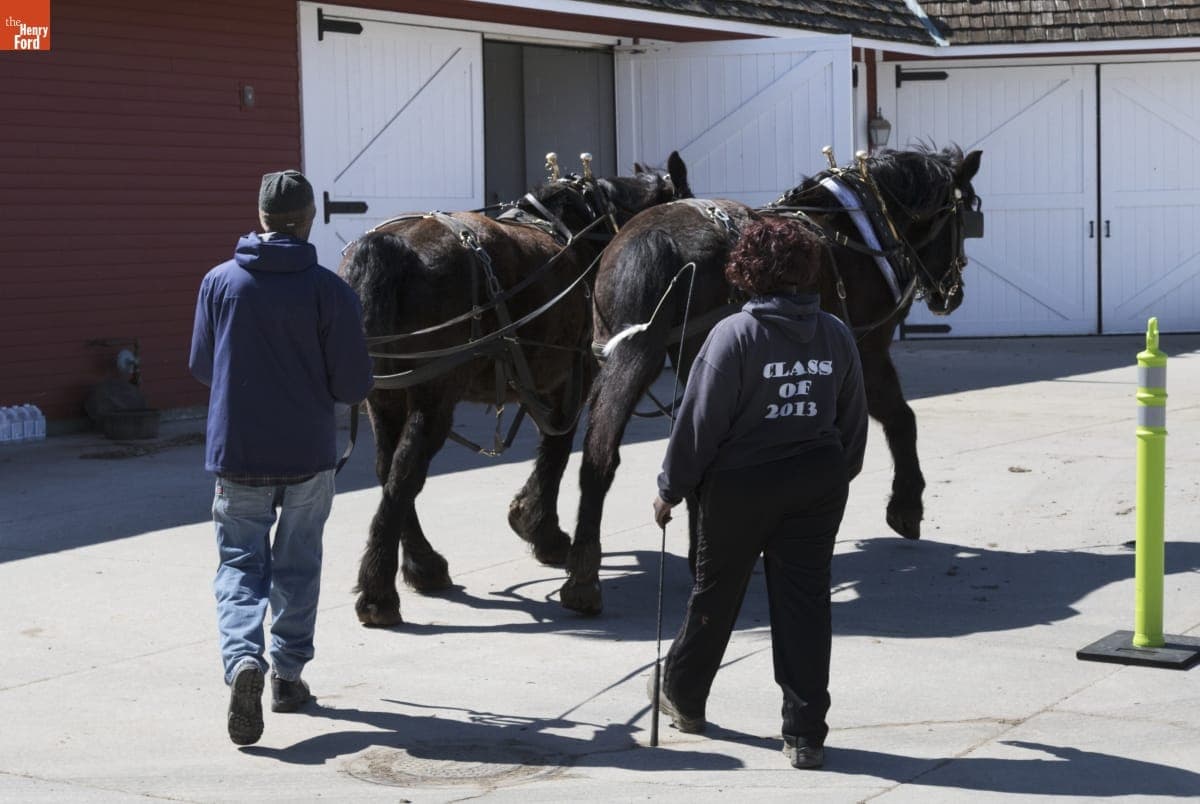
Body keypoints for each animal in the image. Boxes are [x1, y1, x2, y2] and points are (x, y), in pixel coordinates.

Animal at [341, 154, 689, 627]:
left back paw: (420, 564)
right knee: (404, 473)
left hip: (386, 396)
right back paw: (381, 591)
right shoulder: (572, 376)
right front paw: (542, 530)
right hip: (434, 397)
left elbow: (553, 448)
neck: (585, 231)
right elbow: (557, 450)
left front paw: (530, 520)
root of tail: (389, 245)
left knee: (387, 470)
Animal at [559, 146, 983, 614]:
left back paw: (586, 574)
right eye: (964, 214)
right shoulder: (867, 349)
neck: (858, 230)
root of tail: (654, 238)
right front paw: (906, 505)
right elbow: (901, 418)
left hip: (627, 357)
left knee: (602, 451)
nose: (952, 294)